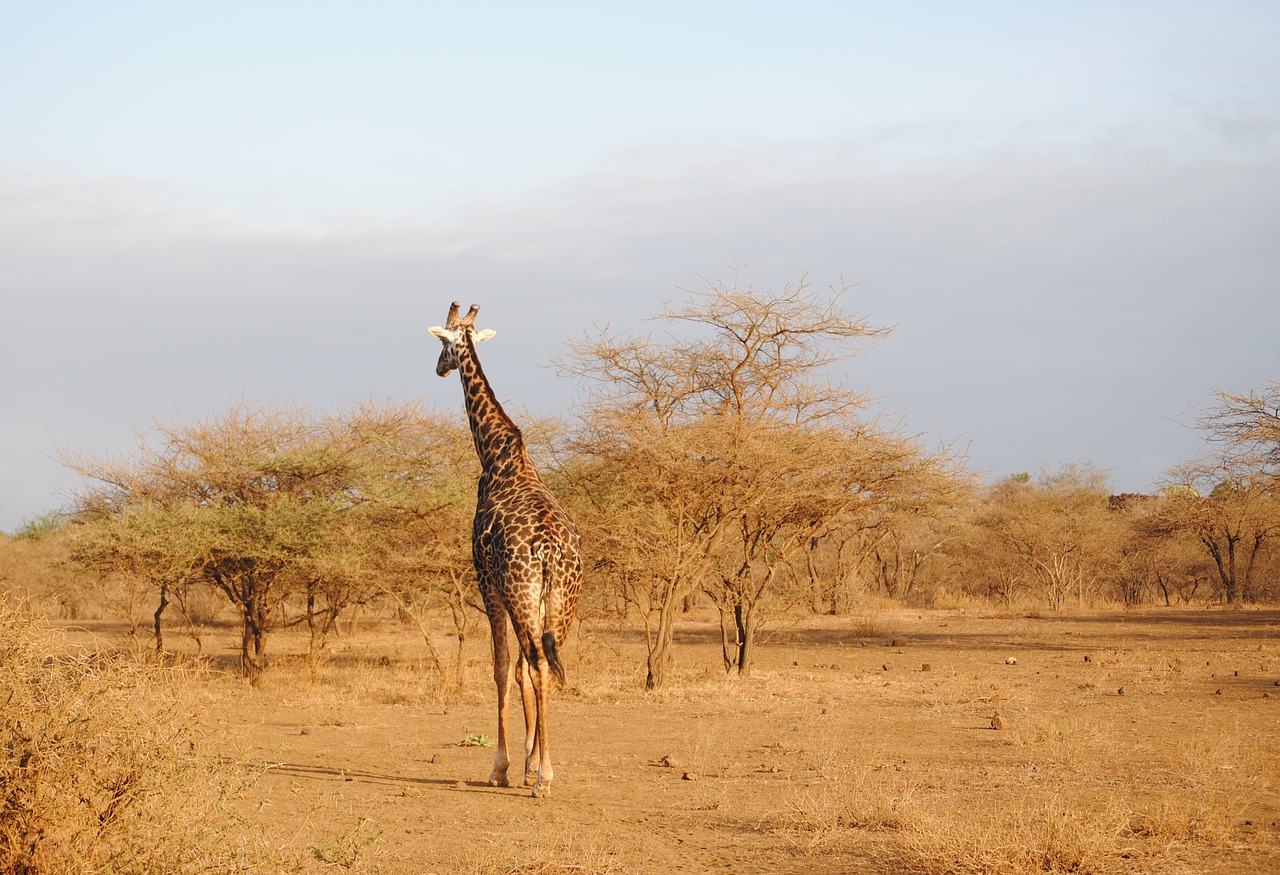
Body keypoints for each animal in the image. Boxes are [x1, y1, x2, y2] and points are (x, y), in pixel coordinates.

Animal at [430, 301, 586, 798]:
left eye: (443, 344)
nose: (439, 368)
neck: (496, 452)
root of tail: (551, 552)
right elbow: (517, 670)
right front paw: (525, 761)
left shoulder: (486, 581)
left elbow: (500, 668)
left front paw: (502, 767)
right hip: (561, 602)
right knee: (547, 666)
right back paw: (541, 770)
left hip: (521, 593)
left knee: (535, 665)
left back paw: (544, 778)